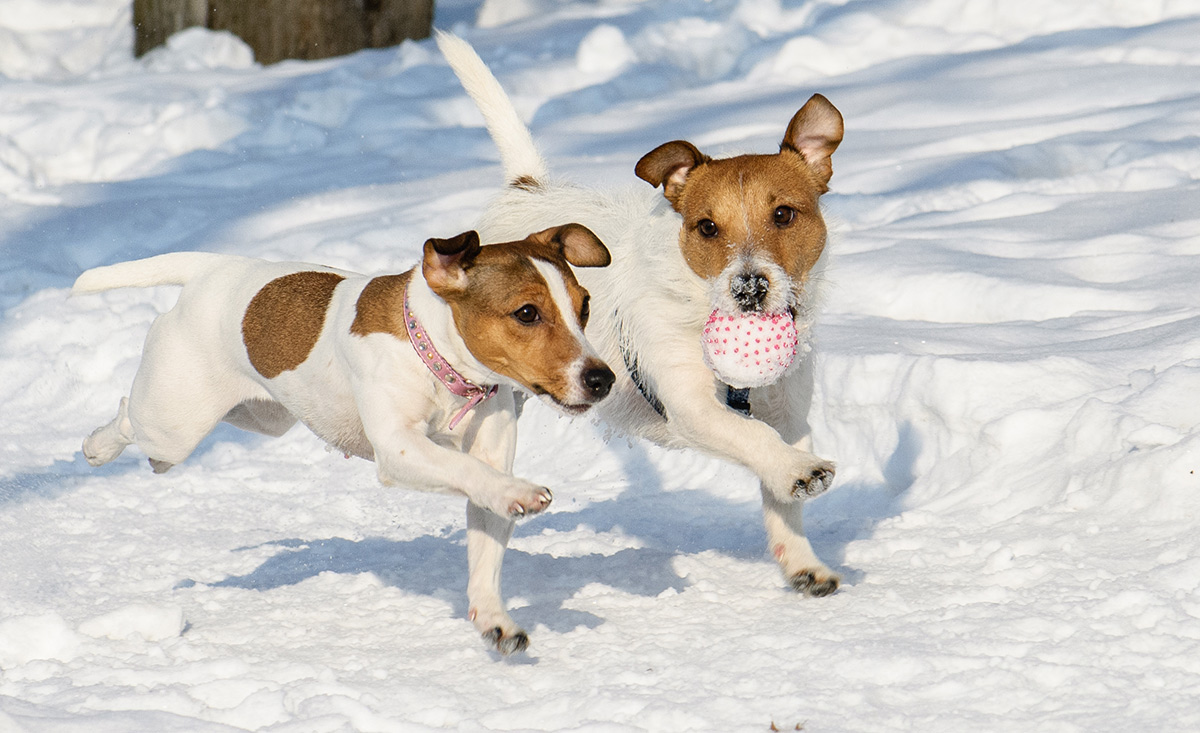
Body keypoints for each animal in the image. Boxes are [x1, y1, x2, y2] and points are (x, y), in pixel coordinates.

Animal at [72, 225, 619, 652]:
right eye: (527, 313)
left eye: (585, 306)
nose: (602, 379)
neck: (437, 360)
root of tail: (215, 268)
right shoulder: (399, 450)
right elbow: (468, 470)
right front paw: (519, 492)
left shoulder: (488, 450)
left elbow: (485, 540)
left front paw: (494, 619)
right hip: (174, 422)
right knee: (131, 419)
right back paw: (98, 446)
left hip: (263, 417)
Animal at [439, 32, 844, 597]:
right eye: (706, 227)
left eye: (784, 214)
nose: (748, 288)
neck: (698, 303)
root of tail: (527, 189)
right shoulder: (693, 407)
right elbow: (753, 436)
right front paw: (798, 471)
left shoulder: (789, 412)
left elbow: (780, 490)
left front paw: (802, 560)